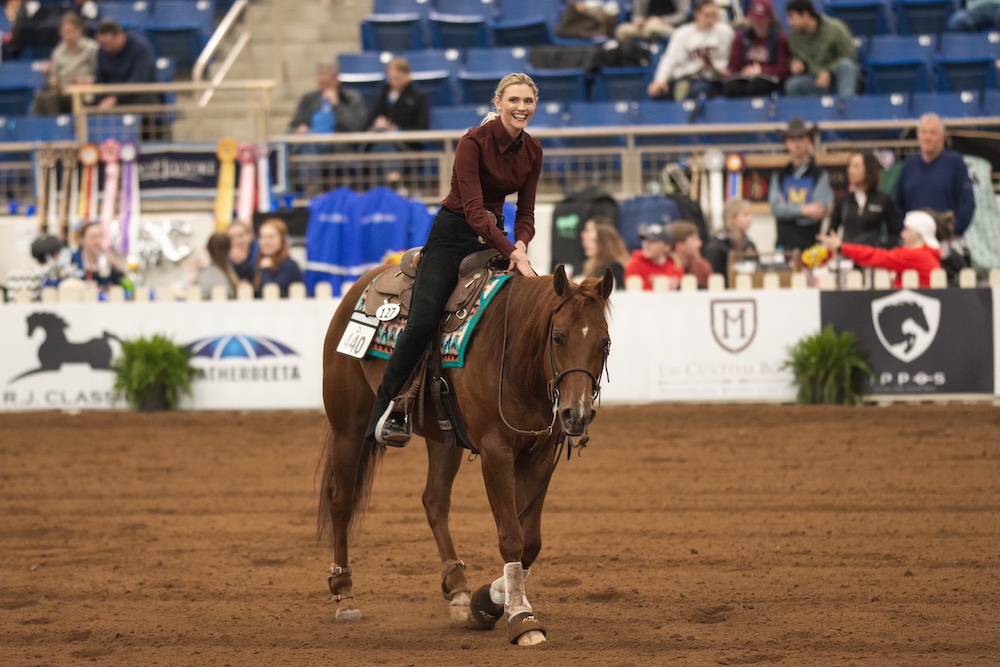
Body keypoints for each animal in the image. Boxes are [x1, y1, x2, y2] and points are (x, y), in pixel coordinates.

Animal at [320, 264, 612, 644]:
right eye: (559, 337)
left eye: (604, 342)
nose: (576, 414)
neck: (513, 356)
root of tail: (362, 283)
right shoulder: (495, 451)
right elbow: (511, 536)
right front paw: (522, 618)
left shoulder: (540, 455)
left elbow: (529, 540)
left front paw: (488, 600)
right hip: (348, 427)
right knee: (341, 502)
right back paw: (345, 594)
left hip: (441, 439)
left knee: (434, 501)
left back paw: (458, 589)